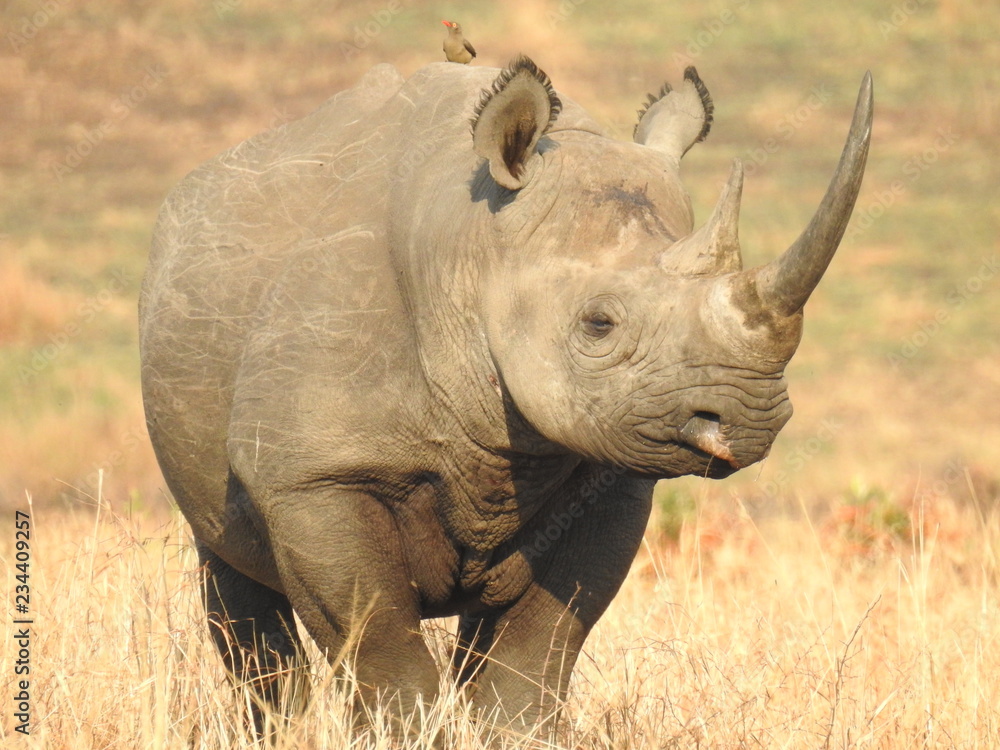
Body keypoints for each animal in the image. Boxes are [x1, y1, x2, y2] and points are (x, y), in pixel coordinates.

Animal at [139, 57, 872, 736]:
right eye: (598, 324)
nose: (749, 417)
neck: (474, 249)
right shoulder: (313, 474)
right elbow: (380, 649)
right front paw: (406, 735)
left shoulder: (608, 478)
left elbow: (536, 654)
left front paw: (514, 734)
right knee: (240, 598)